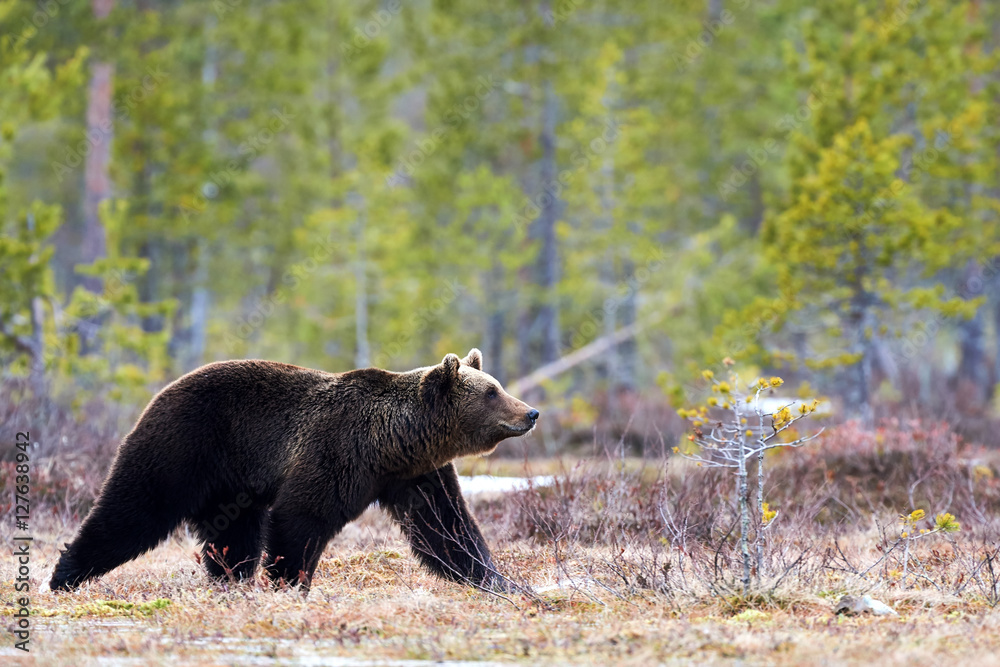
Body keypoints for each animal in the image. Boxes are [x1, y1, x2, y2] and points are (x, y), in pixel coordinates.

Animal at [49, 348, 538, 593]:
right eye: (492, 391)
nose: (531, 412)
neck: (393, 442)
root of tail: (162, 391)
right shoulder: (336, 450)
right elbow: (301, 517)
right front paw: (288, 582)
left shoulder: (417, 475)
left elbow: (448, 528)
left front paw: (503, 582)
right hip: (185, 445)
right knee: (135, 509)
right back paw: (65, 575)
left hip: (232, 485)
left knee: (233, 536)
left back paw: (231, 580)